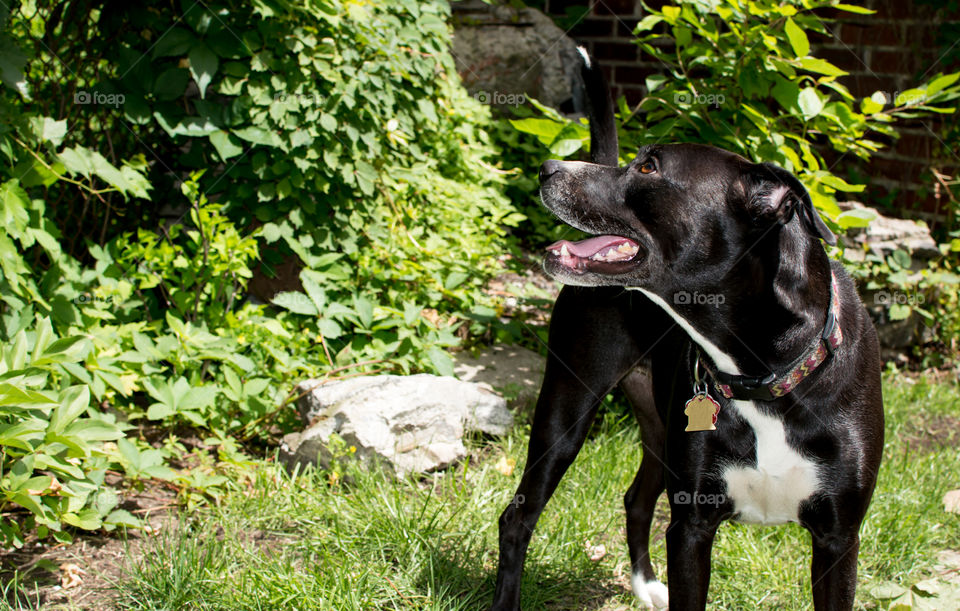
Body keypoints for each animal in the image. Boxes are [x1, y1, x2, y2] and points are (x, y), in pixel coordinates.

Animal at [492, 49, 880, 611]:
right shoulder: (691, 525)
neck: (765, 373)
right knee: (518, 518)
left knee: (636, 499)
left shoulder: (838, 538)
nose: (546, 169)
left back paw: (645, 586)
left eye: (649, 166)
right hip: (566, 408)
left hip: (658, 426)